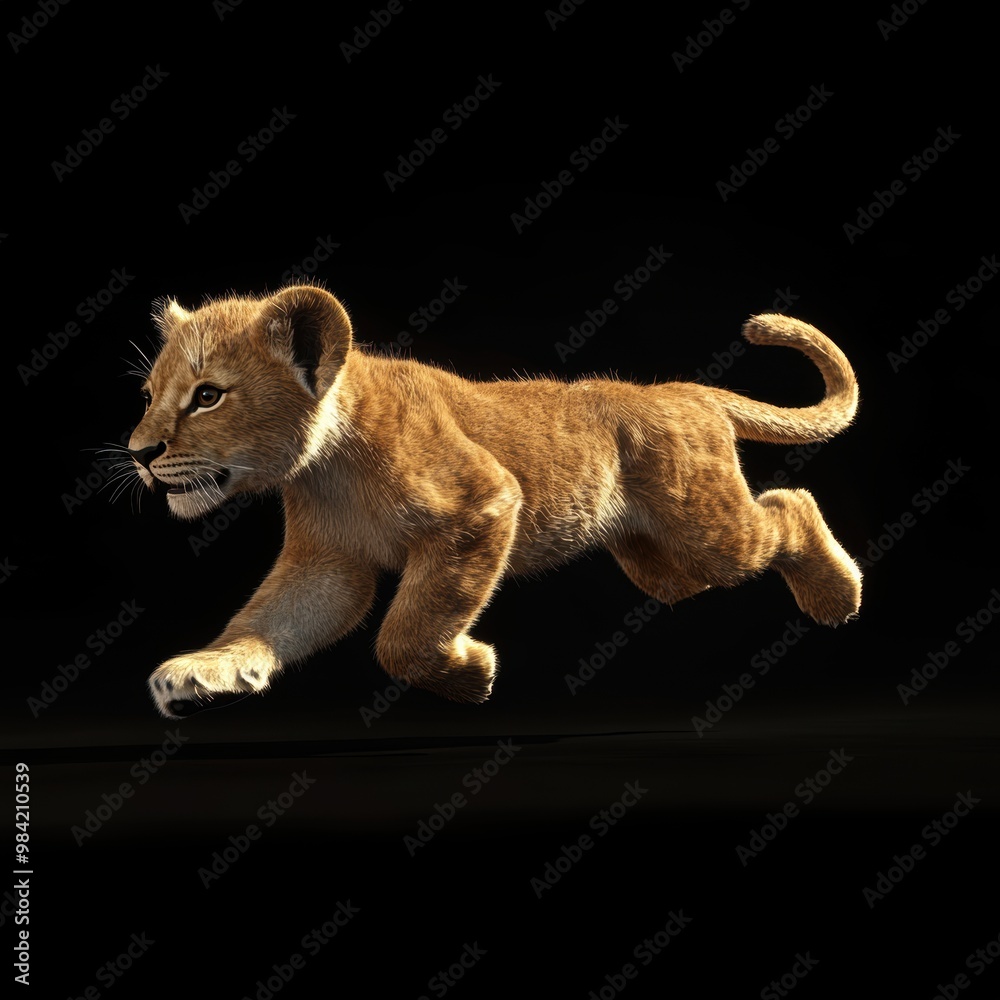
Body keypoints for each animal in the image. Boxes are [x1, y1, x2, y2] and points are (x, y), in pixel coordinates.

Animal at [125, 285, 862, 719]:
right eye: (150, 394)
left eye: (208, 395)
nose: (138, 452)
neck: (322, 468)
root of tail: (686, 389)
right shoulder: (325, 564)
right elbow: (267, 623)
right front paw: (198, 673)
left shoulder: (482, 504)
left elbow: (407, 631)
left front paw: (469, 673)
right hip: (660, 560)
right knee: (704, 573)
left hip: (708, 528)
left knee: (789, 505)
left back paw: (840, 598)